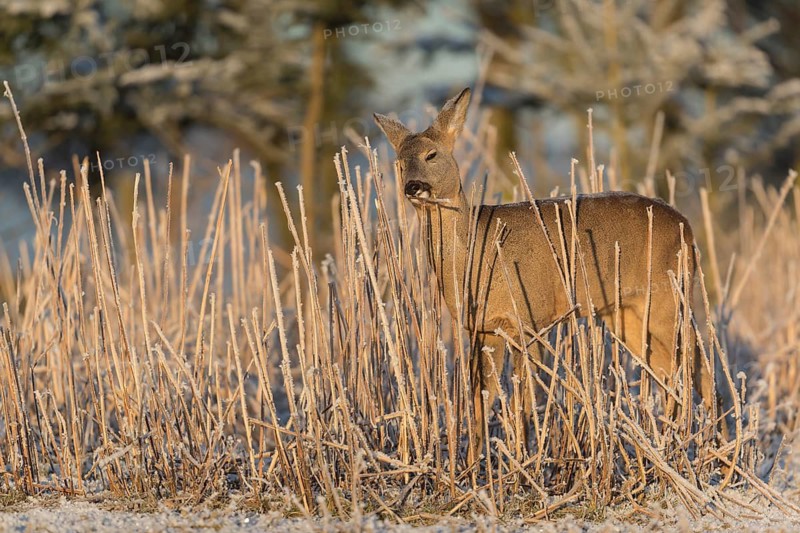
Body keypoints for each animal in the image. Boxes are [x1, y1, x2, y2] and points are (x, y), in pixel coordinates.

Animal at [373, 88, 715, 460]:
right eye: (399, 162)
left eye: (432, 154)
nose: (413, 186)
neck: (476, 251)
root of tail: (687, 227)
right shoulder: (483, 327)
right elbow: (482, 400)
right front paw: (472, 463)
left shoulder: (530, 319)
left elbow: (523, 401)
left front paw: (523, 459)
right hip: (628, 312)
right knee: (668, 370)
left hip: (671, 295)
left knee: (698, 366)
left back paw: (708, 448)